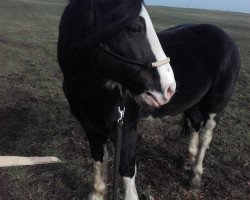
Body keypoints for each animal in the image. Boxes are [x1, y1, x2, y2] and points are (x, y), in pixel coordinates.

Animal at [57, 0, 240, 199]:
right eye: (136, 28)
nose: (169, 88)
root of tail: (225, 37)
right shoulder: (90, 126)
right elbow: (99, 159)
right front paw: (97, 193)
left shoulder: (126, 126)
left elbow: (127, 168)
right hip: (194, 104)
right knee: (195, 125)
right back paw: (188, 161)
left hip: (215, 104)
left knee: (206, 136)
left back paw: (195, 176)